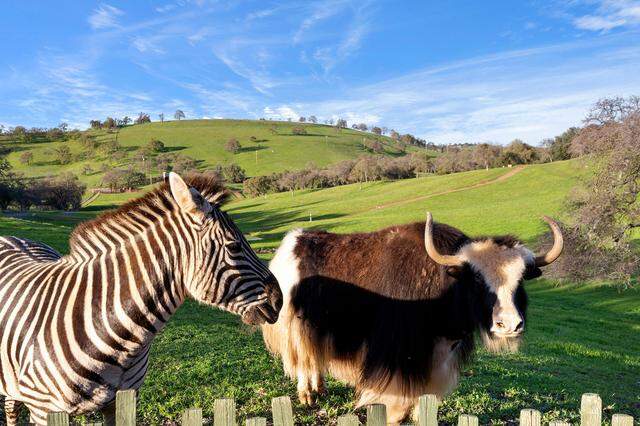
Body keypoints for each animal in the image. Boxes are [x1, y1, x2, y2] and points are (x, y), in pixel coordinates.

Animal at [0, 172, 282, 425]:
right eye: (234, 246)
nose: (279, 300)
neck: (121, 344)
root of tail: (11, 236)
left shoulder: (121, 402)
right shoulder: (43, 409)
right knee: (12, 410)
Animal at [262, 213, 563, 423]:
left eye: (521, 278)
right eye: (476, 278)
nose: (509, 325)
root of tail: (292, 243)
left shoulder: (436, 360)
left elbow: (423, 404)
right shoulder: (396, 359)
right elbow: (395, 409)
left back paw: (320, 389)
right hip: (294, 326)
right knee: (302, 360)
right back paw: (307, 396)